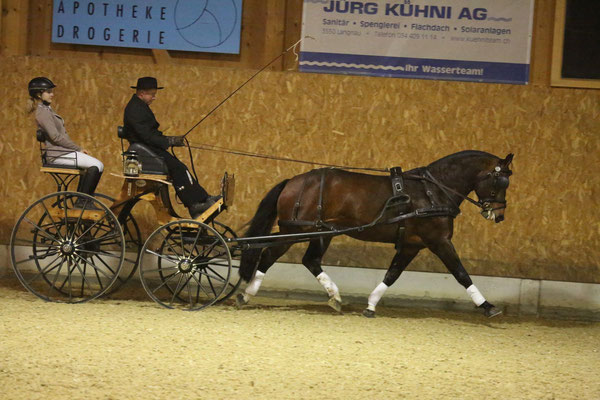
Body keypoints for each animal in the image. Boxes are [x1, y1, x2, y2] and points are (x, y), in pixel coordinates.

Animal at [237, 151, 512, 318]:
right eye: (501, 181)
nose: (498, 215)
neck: (432, 192)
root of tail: (294, 181)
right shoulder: (439, 241)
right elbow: (461, 273)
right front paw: (487, 306)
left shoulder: (412, 245)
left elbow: (393, 274)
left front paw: (370, 304)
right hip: (294, 230)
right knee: (268, 255)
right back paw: (246, 294)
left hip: (322, 231)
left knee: (311, 260)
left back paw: (335, 297)